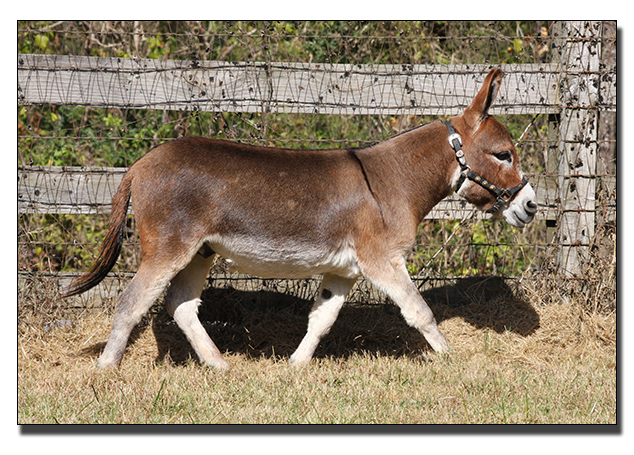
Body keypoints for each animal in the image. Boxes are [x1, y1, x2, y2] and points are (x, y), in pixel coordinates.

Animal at [61, 68, 537, 371]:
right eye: (503, 155)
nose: (532, 206)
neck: (394, 180)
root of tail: (140, 163)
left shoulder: (345, 271)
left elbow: (322, 319)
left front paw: (295, 365)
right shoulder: (383, 260)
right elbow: (420, 312)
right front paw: (451, 359)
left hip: (200, 251)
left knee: (179, 304)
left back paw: (219, 366)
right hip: (169, 247)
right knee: (132, 302)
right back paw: (107, 369)